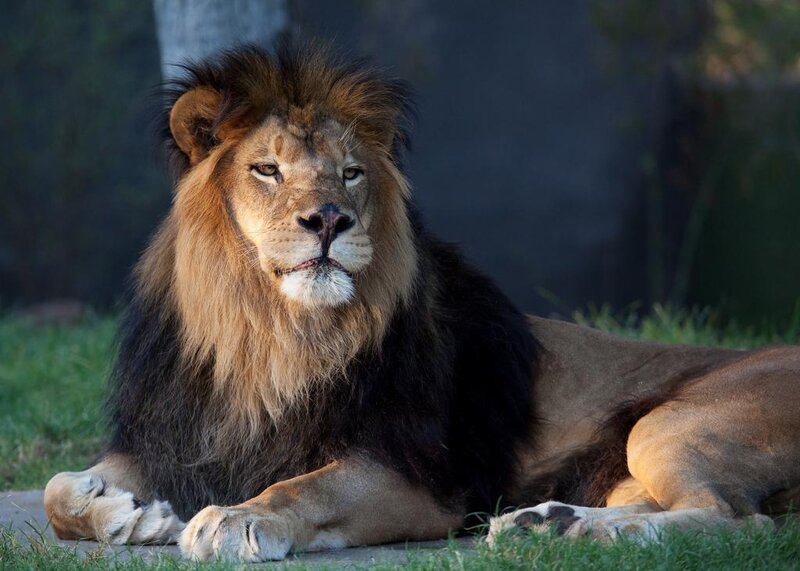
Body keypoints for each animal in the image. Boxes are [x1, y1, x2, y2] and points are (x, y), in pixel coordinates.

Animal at [44, 42, 800, 561]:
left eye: (350, 173)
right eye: (267, 169)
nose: (329, 220)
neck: (268, 330)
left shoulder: (413, 474)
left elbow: (306, 487)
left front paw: (236, 517)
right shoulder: (182, 435)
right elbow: (56, 490)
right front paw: (128, 513)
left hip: (669, 423)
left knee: (738, 520)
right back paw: (549, 526)